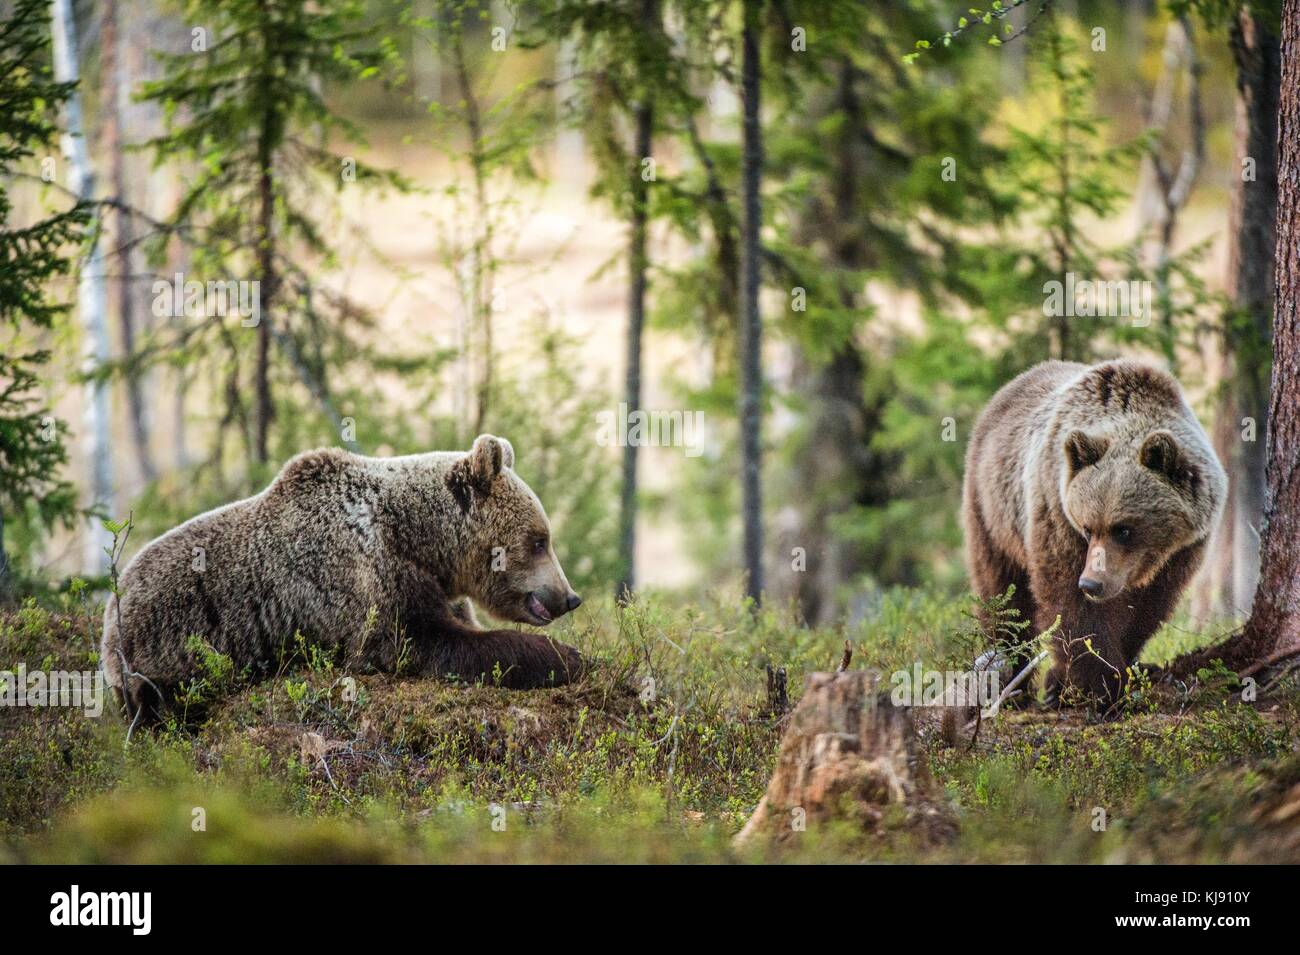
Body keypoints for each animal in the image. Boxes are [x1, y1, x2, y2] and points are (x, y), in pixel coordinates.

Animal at [101, 434, 586, 722]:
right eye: (540, 540)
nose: (569, 596)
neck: (418, 541)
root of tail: (111, 609)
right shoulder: (363, 577)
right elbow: (419, 642)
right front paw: (567, 656)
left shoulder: (431, 583)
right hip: (169, 649)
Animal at [962, 359, 1226, 708]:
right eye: (1088, 527)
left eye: (1123, 529)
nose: (1091, 583)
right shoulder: (1056, 511)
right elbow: (1070, 605)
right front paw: (1099, 686)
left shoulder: (1183, 551)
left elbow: (1146, 612)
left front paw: (1109, 673)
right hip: (992, 508)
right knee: (1001, 591)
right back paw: (1009, 680)